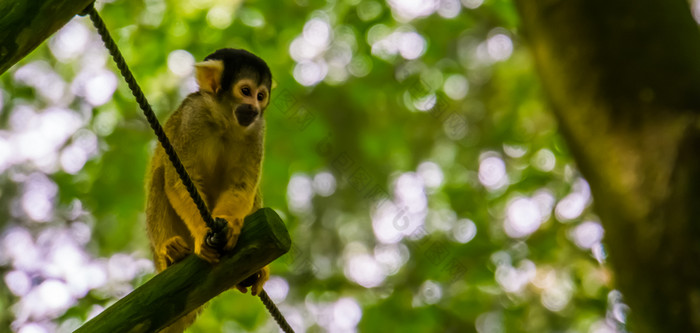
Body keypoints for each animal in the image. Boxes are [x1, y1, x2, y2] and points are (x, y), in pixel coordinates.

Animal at [145, 48, 270, 330]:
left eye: (261, 96)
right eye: (245, 91)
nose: (255, 108)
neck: (223, 119)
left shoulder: (257, 129)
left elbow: (242, 185)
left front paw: (230, 224)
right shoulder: (194, 115)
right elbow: (178, 180)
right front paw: (204, 233)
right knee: (160, 175)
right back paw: (171, 252)